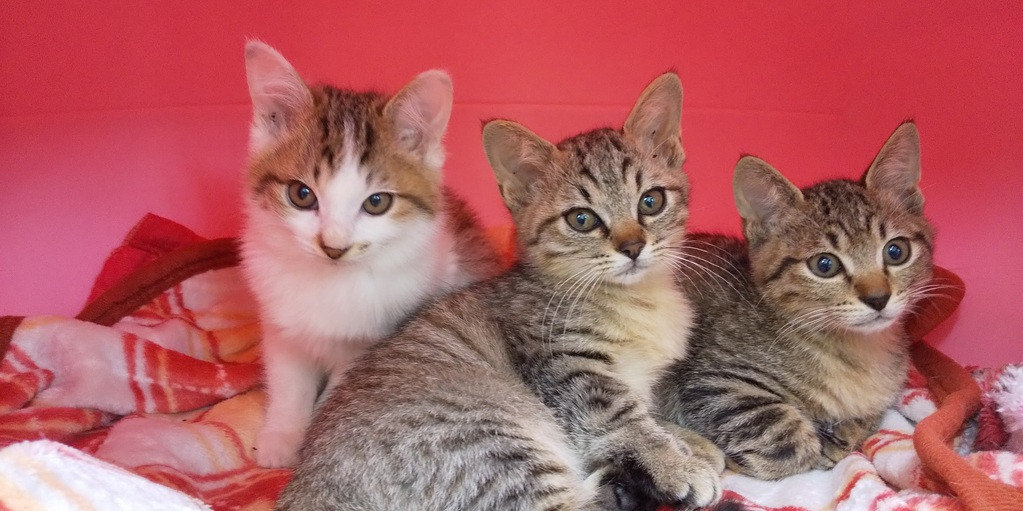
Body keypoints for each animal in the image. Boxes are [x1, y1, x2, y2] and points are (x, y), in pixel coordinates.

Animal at [239, 41, 501, 468]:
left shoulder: (373, 343)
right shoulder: (280, 324)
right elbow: (288, 382)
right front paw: (281, 437)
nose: (333, 246)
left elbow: (341, 392)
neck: (331, 282)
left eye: (376, 202)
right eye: (301, 194)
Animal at [275, 72, 722, 511]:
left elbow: (651, 414)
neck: (636, 300)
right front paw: (678, 464)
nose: (632, 247)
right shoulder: (568, 368)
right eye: (581, 219)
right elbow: (625, 418)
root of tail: (308, 487)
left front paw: (692, 443)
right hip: (486, 439)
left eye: (651, 201)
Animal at [655, 121, 935, 480]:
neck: (859, 352)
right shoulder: (715, 381)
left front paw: (843, 434)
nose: (878, 298)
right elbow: (792, 440)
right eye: (824, 265)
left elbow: (865, 418)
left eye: (896, 251)